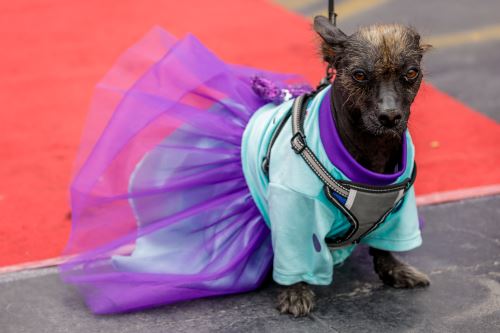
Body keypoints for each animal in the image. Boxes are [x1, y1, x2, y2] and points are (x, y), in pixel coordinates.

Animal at [272, 16, 432, 316]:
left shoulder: (400, 210)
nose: (390, 116)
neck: (374, 149)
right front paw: (296, 290)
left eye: (411, 72)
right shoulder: (293, 206)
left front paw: (394, 270)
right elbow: (294, 253)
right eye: (359, 75)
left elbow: (384, 247)